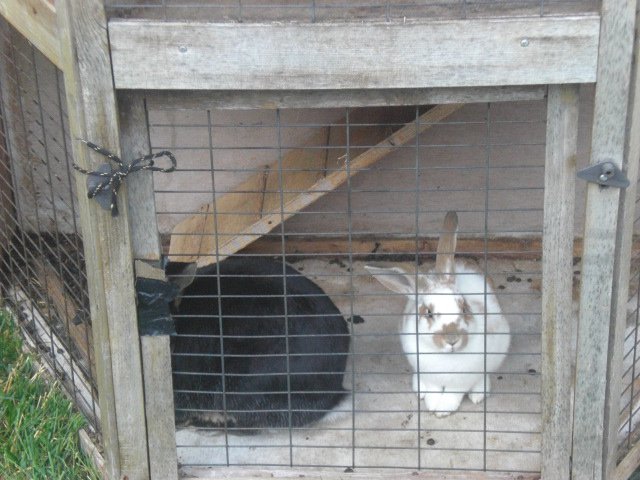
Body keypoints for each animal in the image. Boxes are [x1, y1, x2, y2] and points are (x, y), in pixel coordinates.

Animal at [364, 211, 510, 416]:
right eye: (429, 313)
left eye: (464, 309)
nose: (452, 340)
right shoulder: (428, 374)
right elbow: (433, 389)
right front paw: (433, 403)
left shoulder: (461, 380)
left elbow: (453, 394)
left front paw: (442, 410)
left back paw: (478, 394)